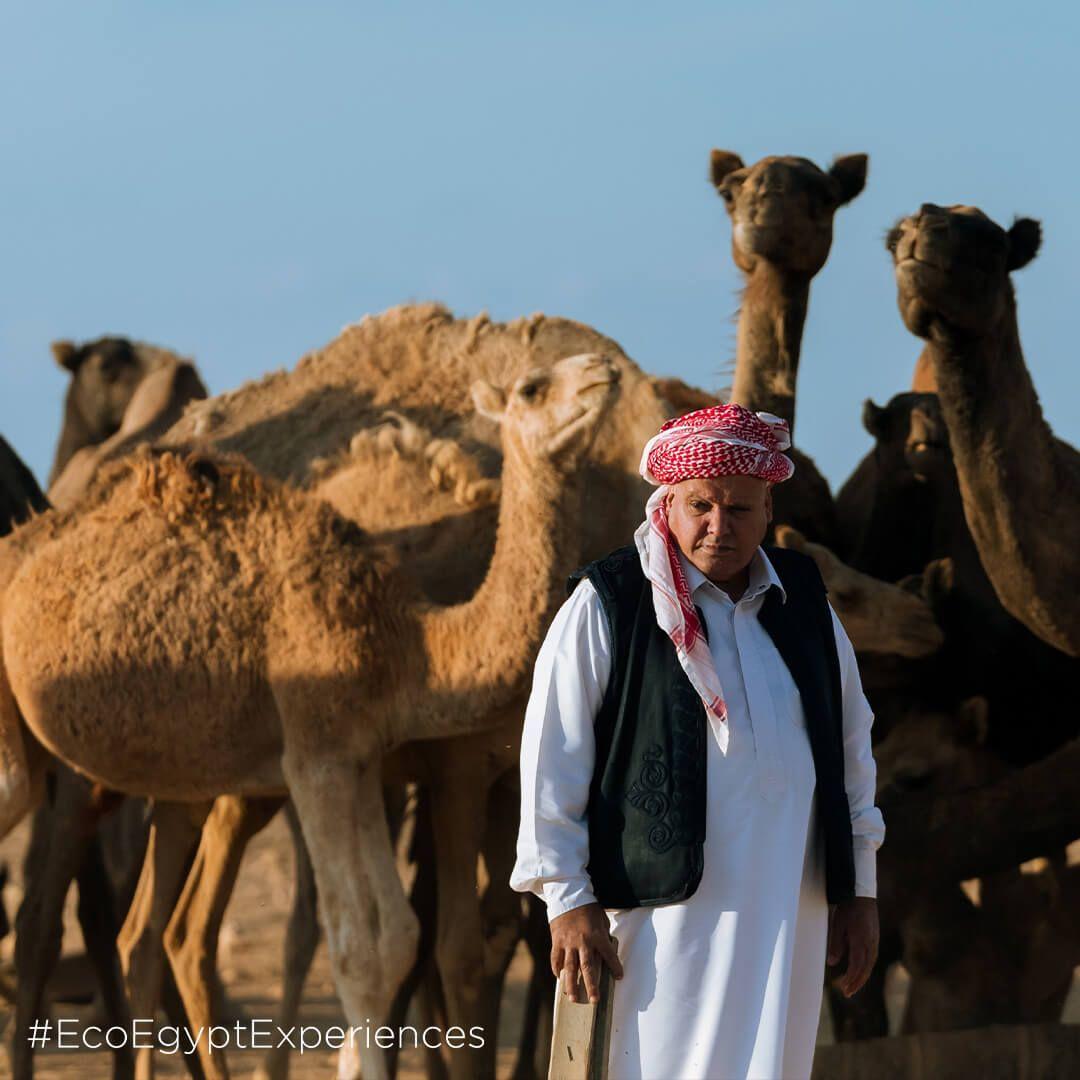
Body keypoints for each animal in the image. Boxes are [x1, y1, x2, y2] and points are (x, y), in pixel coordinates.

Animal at [0, 354, 622, 1080]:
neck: (408, 641)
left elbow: (398, 937)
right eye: (532, 388)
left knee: (152, 933)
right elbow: (357, 946)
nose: (601, 369)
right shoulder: (317, 756)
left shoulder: (362, 757)